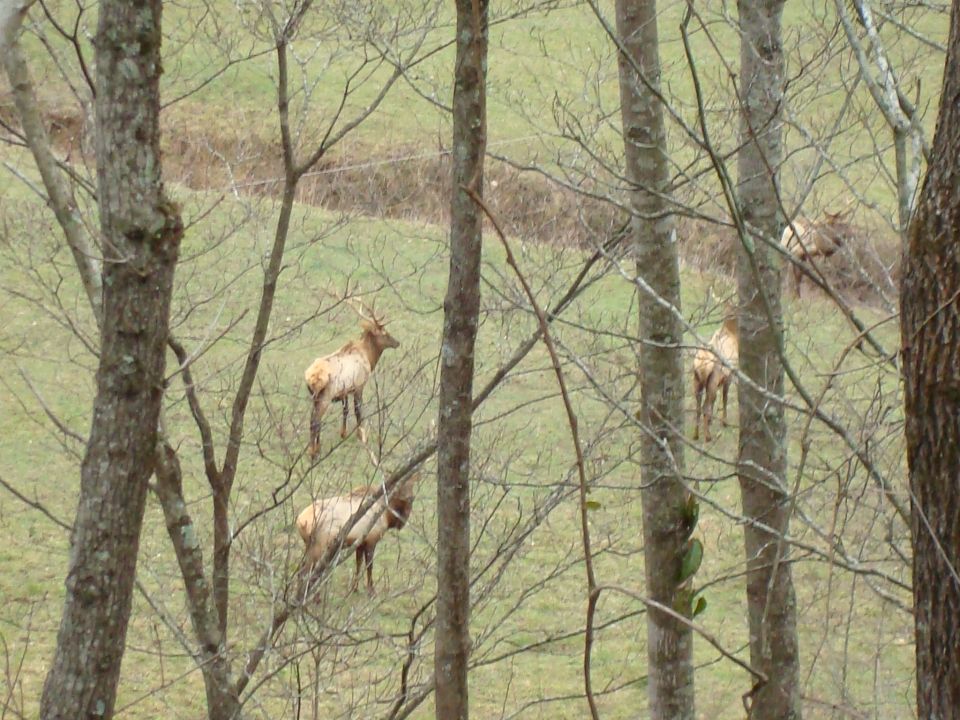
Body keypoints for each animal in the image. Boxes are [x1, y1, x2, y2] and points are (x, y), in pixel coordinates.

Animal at [305, 299, 399, 457]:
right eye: (385, 333)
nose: (397, 342)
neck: (369, 357)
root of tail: (311, 377)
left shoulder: (345, 390)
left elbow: (346, 410)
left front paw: (343, 433)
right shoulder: (359, 385)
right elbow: (358, 410)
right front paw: (362, 436)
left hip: (314, 396)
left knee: (314, 419)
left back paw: (316, 447)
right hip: (325, 396)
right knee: (315, 421)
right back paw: (313, 451)